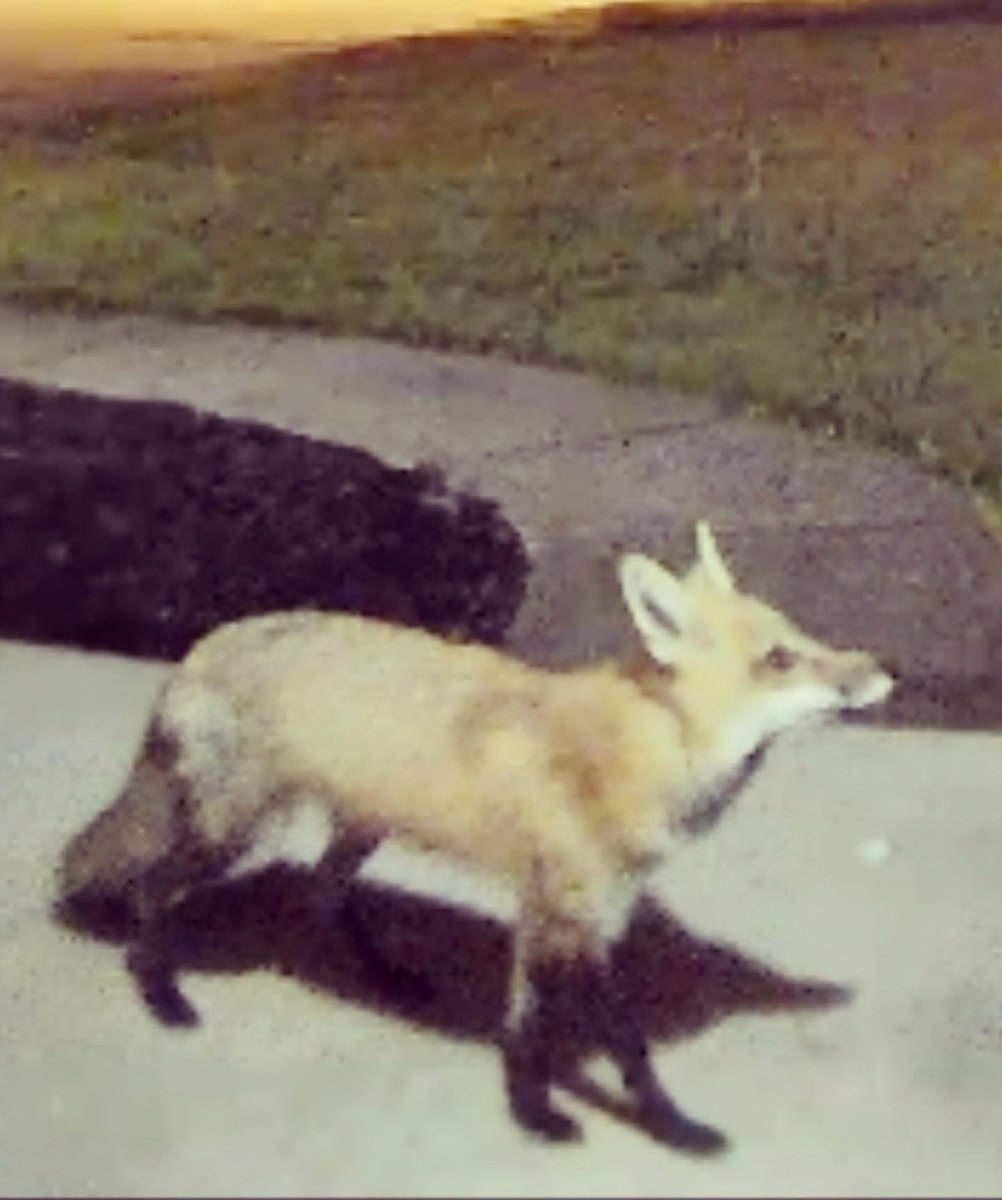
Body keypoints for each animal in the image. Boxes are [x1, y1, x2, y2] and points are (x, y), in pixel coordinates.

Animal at [55, 521, 892, 1152]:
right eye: (779, 660)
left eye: (802, 639)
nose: (882, 673)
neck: (639, 751)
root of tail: (201, 646)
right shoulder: (565, 911)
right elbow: (617, 1043)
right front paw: (640, 1125)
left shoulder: (578, 911)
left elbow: (527, 1024)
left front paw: (535, 1107)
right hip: (234, 830)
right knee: (152, 890)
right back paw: (162, 995)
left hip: (358, 828)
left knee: (325, 895)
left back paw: (386, 976)